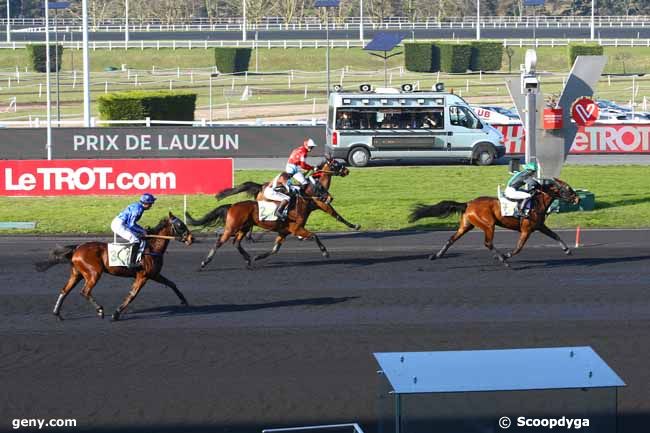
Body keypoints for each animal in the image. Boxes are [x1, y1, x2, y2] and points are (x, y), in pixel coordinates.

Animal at [35, 213, 192, 320]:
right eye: (180, 225)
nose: (192, 238)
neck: (151, 247)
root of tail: (77, 248)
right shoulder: (143, 275)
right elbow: (132, 294)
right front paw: (116, 314)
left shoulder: (153, 274)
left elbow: (172, 284)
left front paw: (184, 301)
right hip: (93, 273)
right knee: (85, 291)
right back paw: (100, 310)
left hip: (77, 274)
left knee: (65, 290)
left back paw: (57, 313)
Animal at [185, 181, 332, 266]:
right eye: (321, 188)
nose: (330, 198)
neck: (298, 204)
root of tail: (232, 206)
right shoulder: (296, 228)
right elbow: (314, 236)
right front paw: (325, 252)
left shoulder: (284, 232)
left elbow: (275, 249)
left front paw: (258, 257)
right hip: (232, 227)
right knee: (219, 242)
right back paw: (205, 261)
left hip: (244, 227)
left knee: (236, 243)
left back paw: (248, 259)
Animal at [214, 157, 360, 231]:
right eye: (336, 164)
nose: (347, 170)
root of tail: (261, 186)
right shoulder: (323, 204)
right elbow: (337, 215)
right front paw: (354, 226)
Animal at [410, 177, 576, 264]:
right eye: (568, 188)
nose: (577, 198)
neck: (537, 202)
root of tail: (468, 203)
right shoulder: (526, 229)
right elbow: (519, 247)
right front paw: (507, 255)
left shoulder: (539, 226)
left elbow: (555, 235)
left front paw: (567, 250)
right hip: (488, 224)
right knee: (488, 243)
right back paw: (502, 258)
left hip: (466, 225)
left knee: (451, 239)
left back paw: (436, 255)